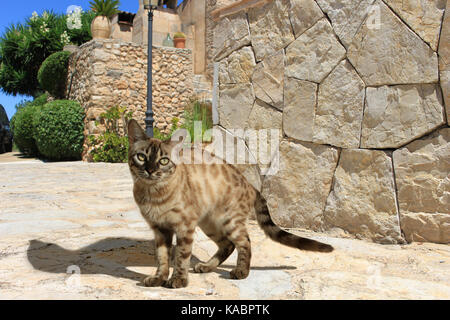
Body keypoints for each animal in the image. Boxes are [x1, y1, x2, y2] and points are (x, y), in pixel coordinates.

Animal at [128, 119, 332, 288]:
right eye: (141, 157)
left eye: (163, 161)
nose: (150, 170)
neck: (153, 194)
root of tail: (251, 185)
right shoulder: (160, 229)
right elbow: (162, 258)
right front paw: (159, 279)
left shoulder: (184, 227)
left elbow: (181, 256)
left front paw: (178, 280)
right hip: (209, 223)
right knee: (228, 245)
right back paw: (206, 266)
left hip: (229, 222)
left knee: (245, 242)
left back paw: (241, 272)